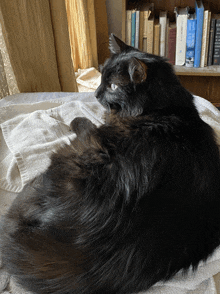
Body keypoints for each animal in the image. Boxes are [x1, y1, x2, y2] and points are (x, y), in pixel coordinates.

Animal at [1, 35, 220, 294]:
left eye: (113, 86)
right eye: (102, 77)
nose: (95, 94)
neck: (164, 107)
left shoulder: (97, 130)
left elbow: (86, 122)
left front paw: (78, 118)